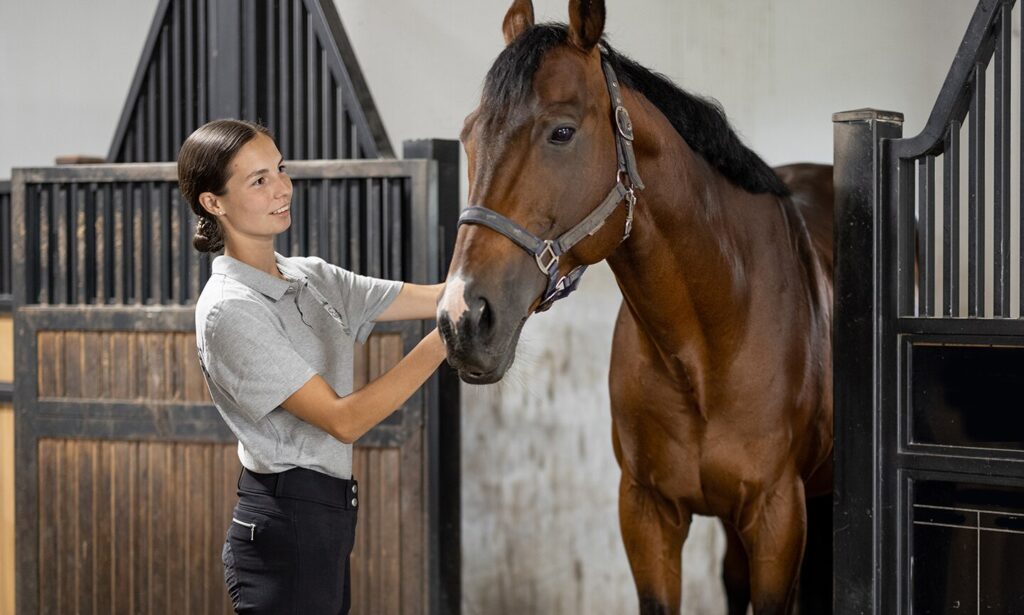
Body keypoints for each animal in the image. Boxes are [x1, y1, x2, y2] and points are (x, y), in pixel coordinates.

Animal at [436, 1, 834, 613]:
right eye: (467, 134)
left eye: (562, 132)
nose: (462, 318)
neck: (710, 342)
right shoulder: (646, 512)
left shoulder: (779, 516)